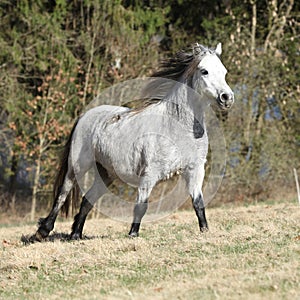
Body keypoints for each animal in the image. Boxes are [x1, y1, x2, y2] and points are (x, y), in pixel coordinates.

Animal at [31, 42, 234, 241]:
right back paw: (43, 231)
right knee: (63, 194)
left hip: (106, 174)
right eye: (204, 71)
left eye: (224, 71)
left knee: (87, 199)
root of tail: (85, 116)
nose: (227, 98)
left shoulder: (194, 170)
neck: (177, 126)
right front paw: (133, 234)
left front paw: (205, 232)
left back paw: (75, 235)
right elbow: (141, 206)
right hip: (78, 166)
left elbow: (198, 203)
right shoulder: (150, 174)